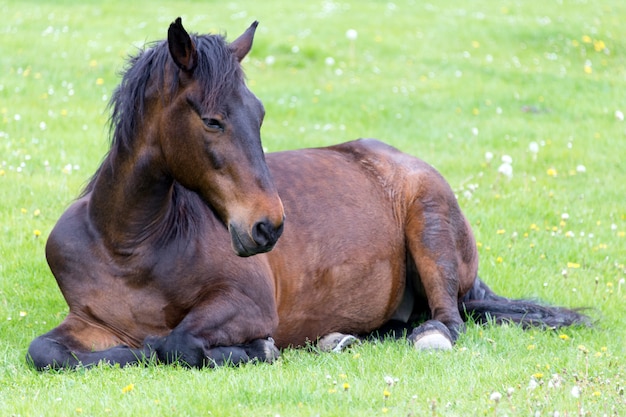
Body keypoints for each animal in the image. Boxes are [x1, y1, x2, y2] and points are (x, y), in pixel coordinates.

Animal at [26, 17, 588, 368]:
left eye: (258, 115)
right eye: (212, 120)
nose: (268, 226)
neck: (129, 246)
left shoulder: (247, 305)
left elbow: (177, 343)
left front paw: (258, 350)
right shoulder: (87, 321)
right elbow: (44, 353)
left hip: (430, 232)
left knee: (447, 319)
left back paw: (424, 336)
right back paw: (336, 339)